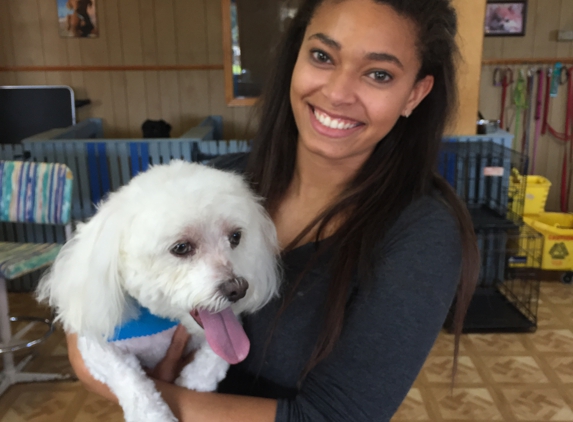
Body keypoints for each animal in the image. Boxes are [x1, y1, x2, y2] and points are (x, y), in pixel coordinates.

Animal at [34, 160, 280, 420]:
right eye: (181, 247)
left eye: (235, 237)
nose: (238, 289)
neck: (159, 323)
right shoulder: (96, 350)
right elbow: (131, 382)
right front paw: (154, 414)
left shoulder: (229, 329)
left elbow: (215, 357)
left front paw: (195, 382)